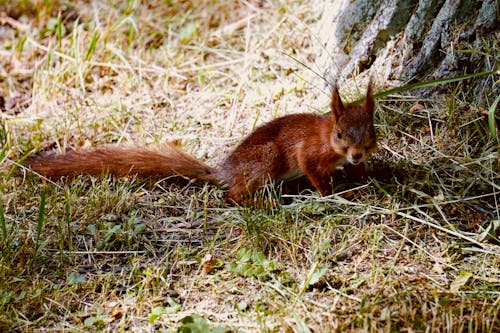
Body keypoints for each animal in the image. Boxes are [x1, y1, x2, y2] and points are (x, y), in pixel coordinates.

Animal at [27, 82, 376, 202]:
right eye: (340, 134)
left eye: (372, 131)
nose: (357, 155)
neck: (328, 139)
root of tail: (224, 172)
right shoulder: (308, 153)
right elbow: (313, 171)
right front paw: (333, 194)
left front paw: (360, 176)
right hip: (266, 161)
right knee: (232, 196)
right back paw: (258, 202)